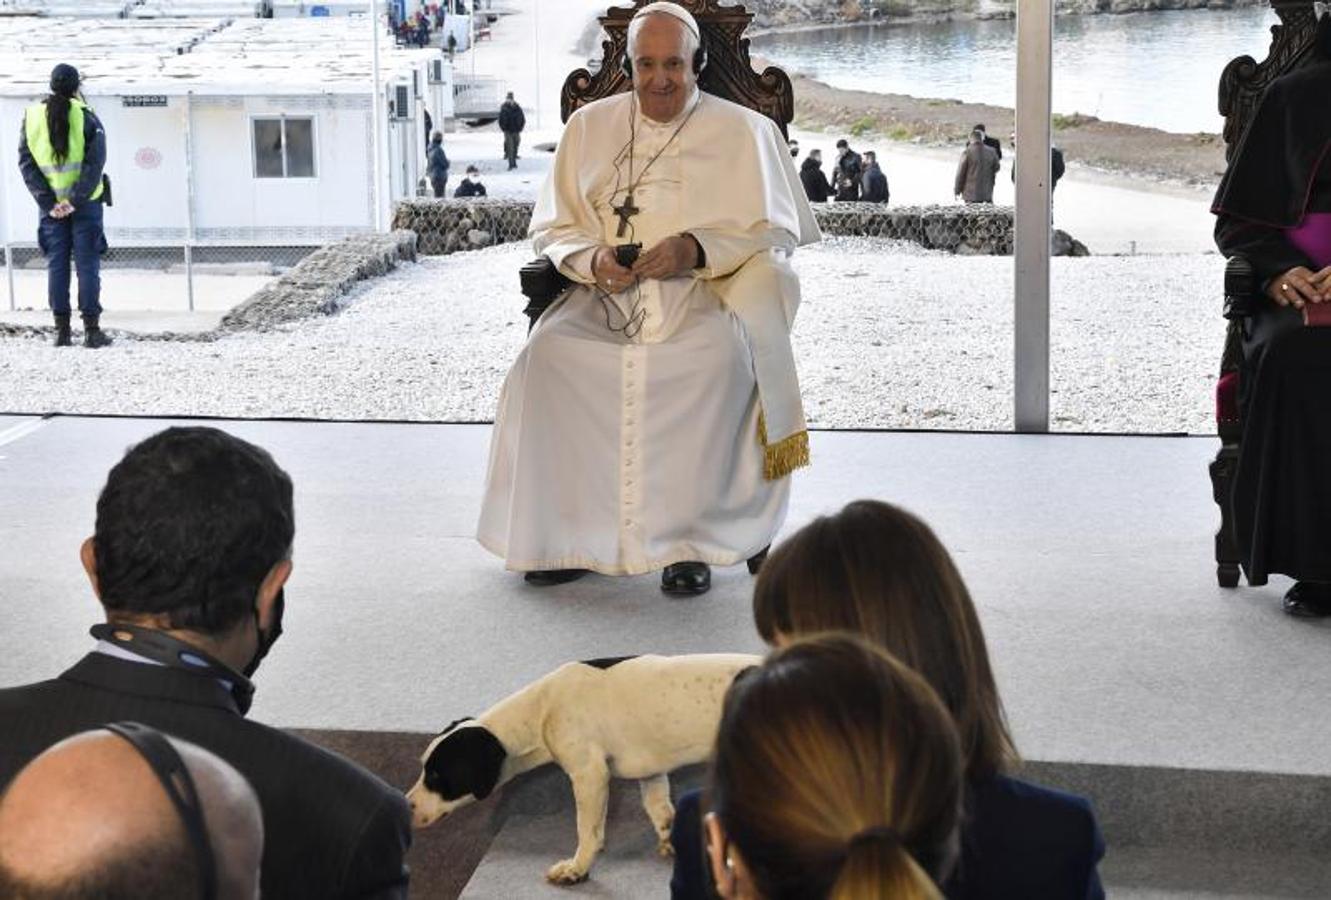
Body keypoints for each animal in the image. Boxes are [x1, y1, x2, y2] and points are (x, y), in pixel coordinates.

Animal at [404, 649, 761, 884]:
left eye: (436, 775)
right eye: (423, 768)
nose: (405, 806)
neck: (541, 708)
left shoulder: (590, 775)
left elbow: (588, 832)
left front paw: (577, 868)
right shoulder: (651, 774)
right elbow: (661, 813)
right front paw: (670, 842)